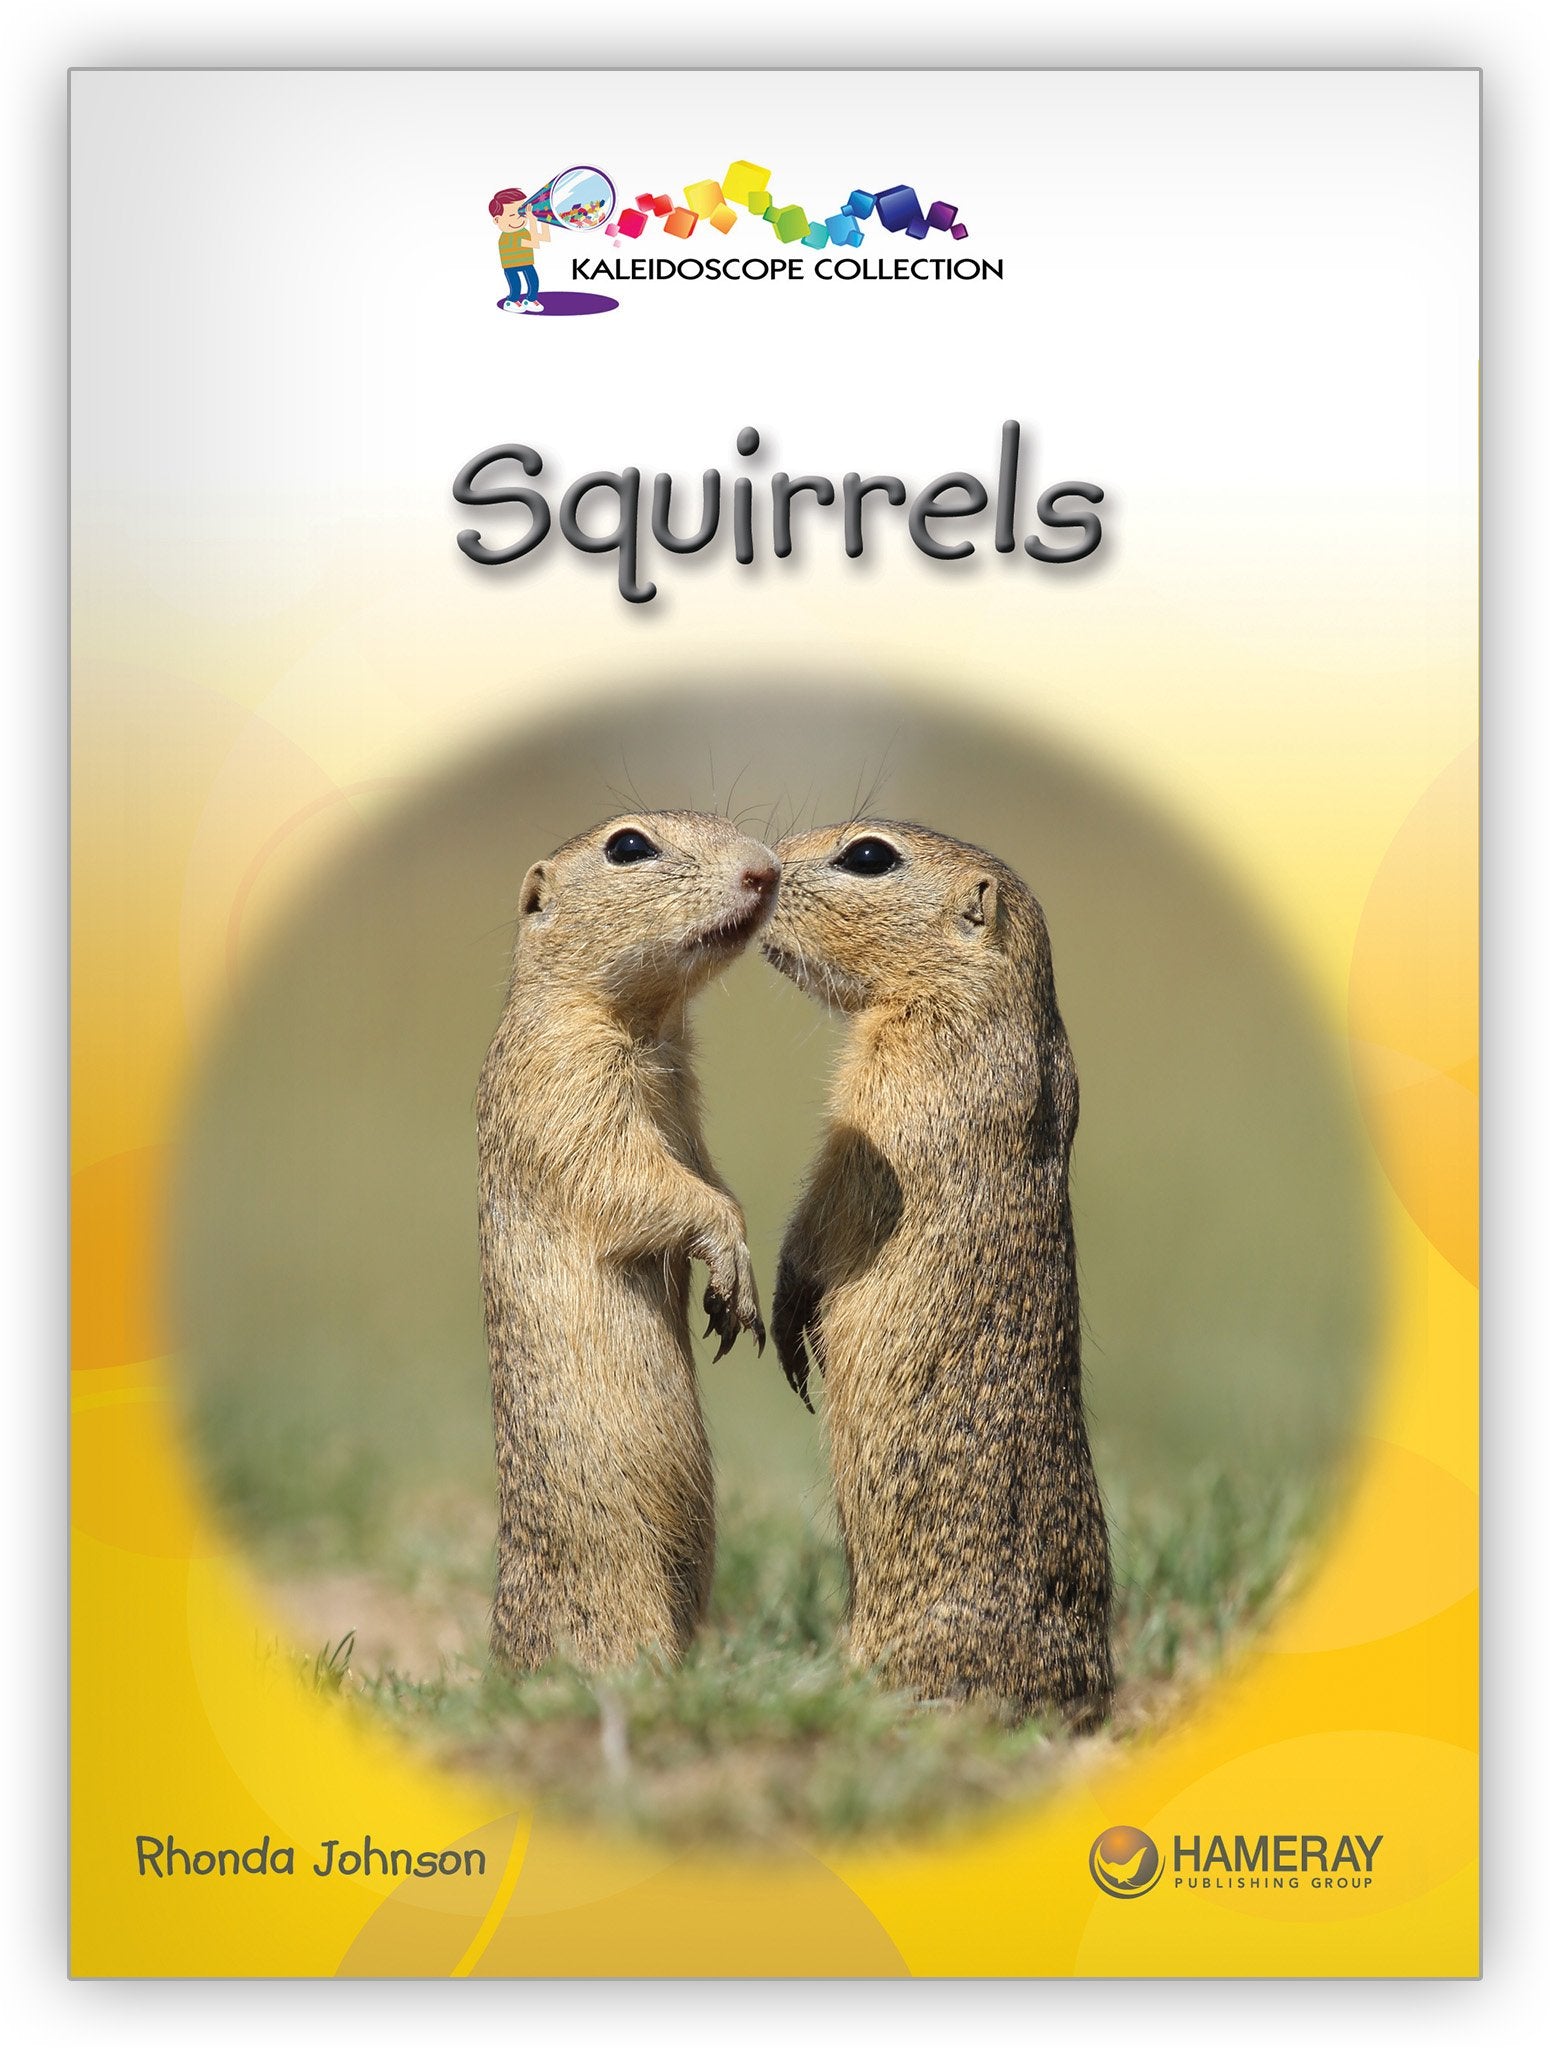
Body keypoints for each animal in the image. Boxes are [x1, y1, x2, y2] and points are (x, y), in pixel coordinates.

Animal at [477, 811, 780, 1671]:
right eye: (629, 847)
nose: (767, 869)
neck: (653, 1024)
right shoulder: (567, 1086)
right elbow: (637, 1180)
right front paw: (732, 1261)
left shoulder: (688, 1106)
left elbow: (707, 1172)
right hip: (621, 1582)